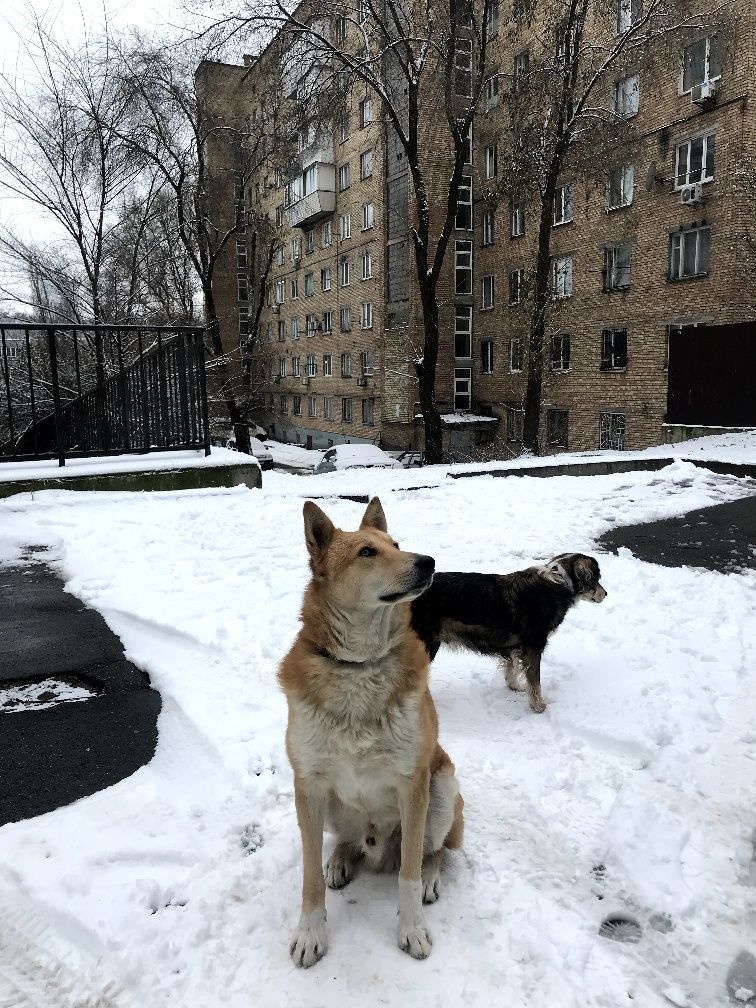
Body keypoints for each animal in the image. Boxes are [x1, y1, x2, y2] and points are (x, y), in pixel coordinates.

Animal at [280, 497, 465, 967]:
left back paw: (431, 877)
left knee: (434, 851)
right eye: (367, 552)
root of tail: (378, 848)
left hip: (442, 786)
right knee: (346, 842)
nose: (428, 561)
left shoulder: (413, 783)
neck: (359, 667)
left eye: (395, 544)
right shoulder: (308, 784)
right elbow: (308, 876)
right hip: (331, 805)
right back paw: (340, 859)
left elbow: (409, 872)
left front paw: (411, 928)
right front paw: (310, 933)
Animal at [411, 556, 608, 713]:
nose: (605, 594)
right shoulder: (533, 647)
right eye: (596, 578)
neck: (557, 584)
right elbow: (535, 680)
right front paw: (538, 706)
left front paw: (514, 686)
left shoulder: (515, 647)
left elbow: (511, 669)